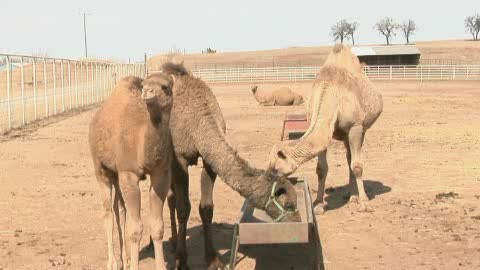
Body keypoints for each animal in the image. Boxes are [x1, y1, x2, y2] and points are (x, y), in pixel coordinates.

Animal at [88, 72, 174, 270]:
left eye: (165, 86)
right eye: (145, 84)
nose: (148, 92)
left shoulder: (161, 174)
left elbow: (157, 226)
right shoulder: (129, 174)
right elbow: (135, 229)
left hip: (115, 173)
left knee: (119, 208)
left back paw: (125, 260)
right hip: (100, 168)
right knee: (108, 212)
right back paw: (112, 263)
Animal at [148, 63, 300, 270]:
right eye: (289, 203)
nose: (298, 221)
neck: (198, 122)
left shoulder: (209, 162)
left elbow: (206, 208)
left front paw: (213, 259)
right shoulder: (180, 159)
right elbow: (183, 208)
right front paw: (182, 261)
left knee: (170, 198)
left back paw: (172, 242)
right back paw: (158, 244)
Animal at [266, 43, 382, 213]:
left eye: (275, 168)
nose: (270, 185)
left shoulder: (355, 126)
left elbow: (357, 166)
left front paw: (364, 203)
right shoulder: (321, 126)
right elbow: (321, 168)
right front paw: (319, 203)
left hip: (361, 130)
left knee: (352, 159)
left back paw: (355, 197)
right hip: (344, 135)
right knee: (348, 157)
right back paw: (351, 195)